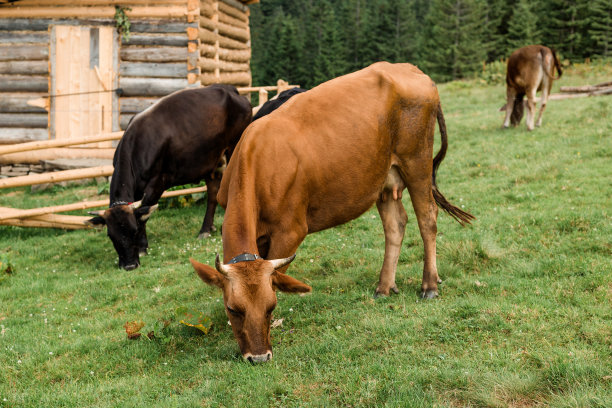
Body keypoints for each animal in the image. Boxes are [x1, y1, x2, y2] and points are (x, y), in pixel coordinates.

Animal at [86, 85, 251, 270]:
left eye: (133, 231)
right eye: (111, 235)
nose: (129, 265)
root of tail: (228, 88)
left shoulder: (157, 183)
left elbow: (145, 214)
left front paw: (143, 247)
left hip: (234, 147)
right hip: (212, 160)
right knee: (213, 194)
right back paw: (206, 229)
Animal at [189, 62, 476, 362]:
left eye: (271, 306)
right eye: (233, 309)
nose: (258, 357)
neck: (258, 158)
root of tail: (408, 67)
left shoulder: (291, 231)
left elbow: (278, 276)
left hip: (417, 161)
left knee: (427, 218)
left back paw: (429, 285)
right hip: (384, 177)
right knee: (396, 225)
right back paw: (385, 286)